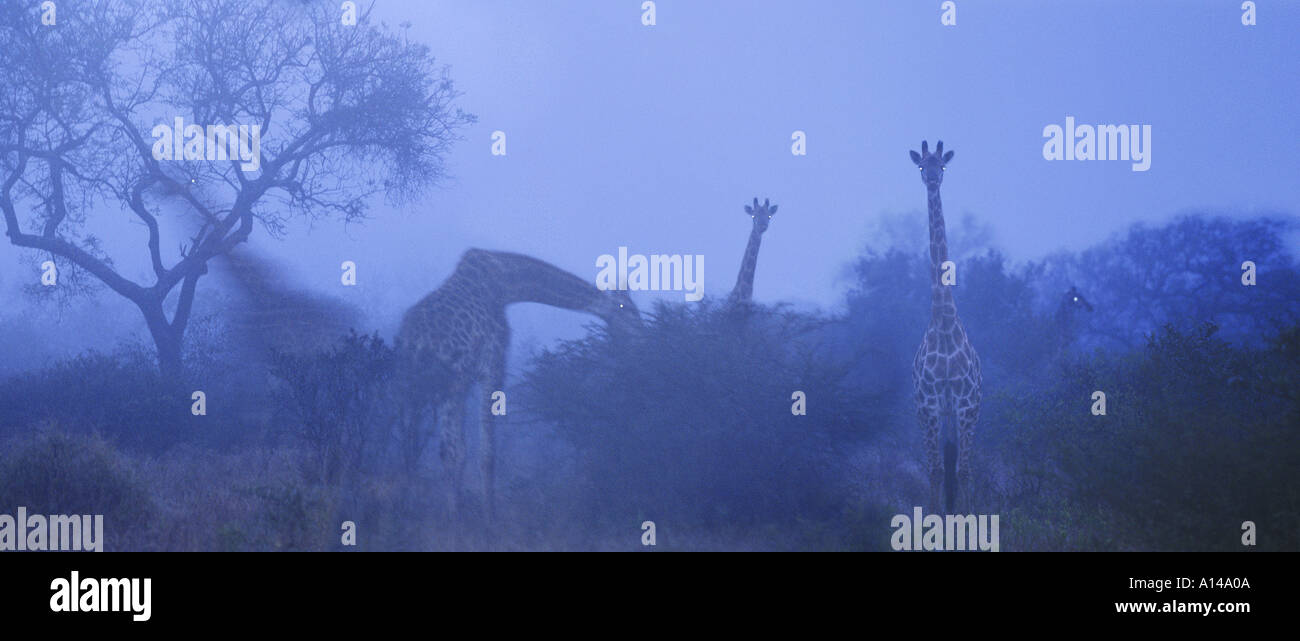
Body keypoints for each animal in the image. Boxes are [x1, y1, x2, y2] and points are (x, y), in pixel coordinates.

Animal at [395, 248, 641, 522]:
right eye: (630, 311)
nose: (642, 335)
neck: (507, 284)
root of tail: (415, 339)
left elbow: (459, 452)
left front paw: (461, 514)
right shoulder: (491, 367)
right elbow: (485, 453)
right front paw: (489, 518)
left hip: (412, 385)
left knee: (410, 445)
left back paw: (407, 509)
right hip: (446, 383)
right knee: (438, 447)